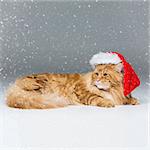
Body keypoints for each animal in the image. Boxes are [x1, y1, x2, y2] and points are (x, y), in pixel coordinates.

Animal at [6, 62, 139, 109]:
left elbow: (126, 98)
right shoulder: (81, 90)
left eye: (105, 74)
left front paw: (133, 100)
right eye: (96, 74)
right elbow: (97, 98)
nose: (97, 80)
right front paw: (107, 102)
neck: (111, 91)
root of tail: (14, 86)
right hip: (38, 85)